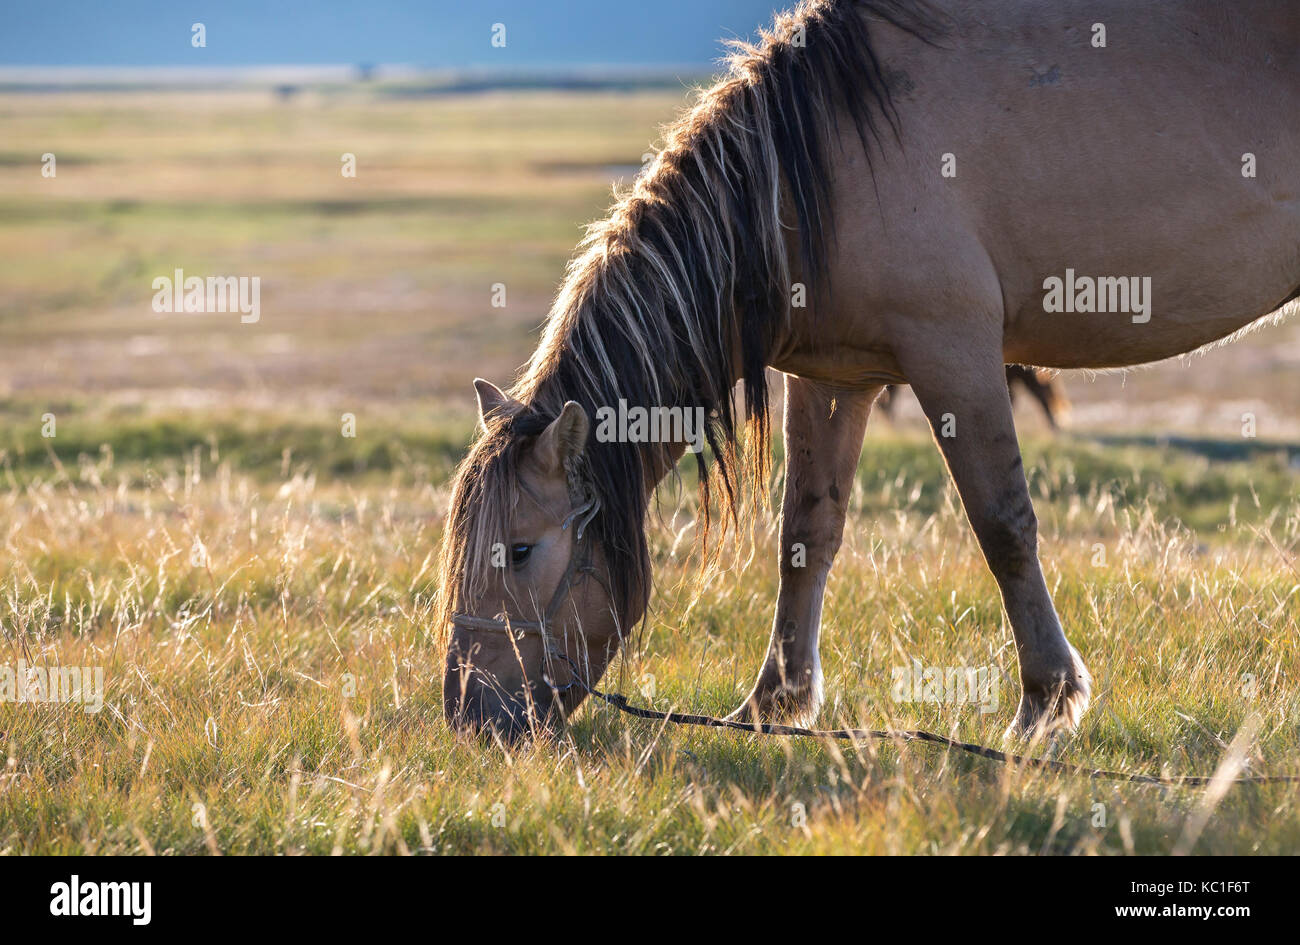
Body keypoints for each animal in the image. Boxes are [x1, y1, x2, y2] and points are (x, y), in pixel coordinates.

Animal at [439, 0, 1300, 738]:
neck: (813, 171)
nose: (468, 713)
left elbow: (1004, 526)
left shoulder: (955, 354)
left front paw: (1045, 703)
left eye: (520, 550)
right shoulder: (834, 378)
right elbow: (805, 533)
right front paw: (773, 703)